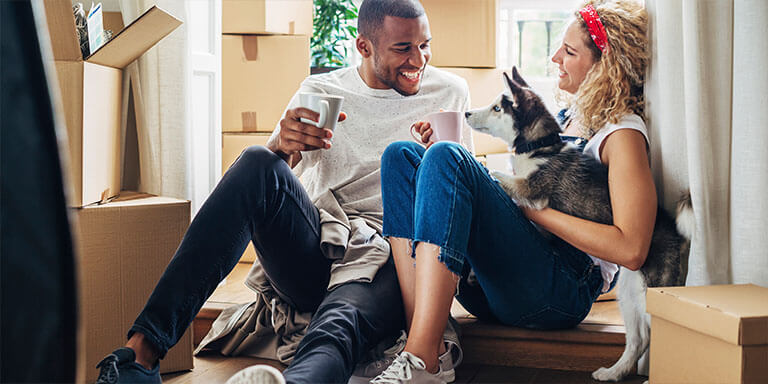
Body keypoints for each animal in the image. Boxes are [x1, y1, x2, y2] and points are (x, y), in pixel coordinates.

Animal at [464, 68, 692, 380]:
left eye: (498, 108)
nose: (465, 113)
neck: (539, 147)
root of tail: (675, 233)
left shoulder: (531, 189)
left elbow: (495, 174)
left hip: (651, 292)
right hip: (629, 292)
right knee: (638, 339)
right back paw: (613, 372)